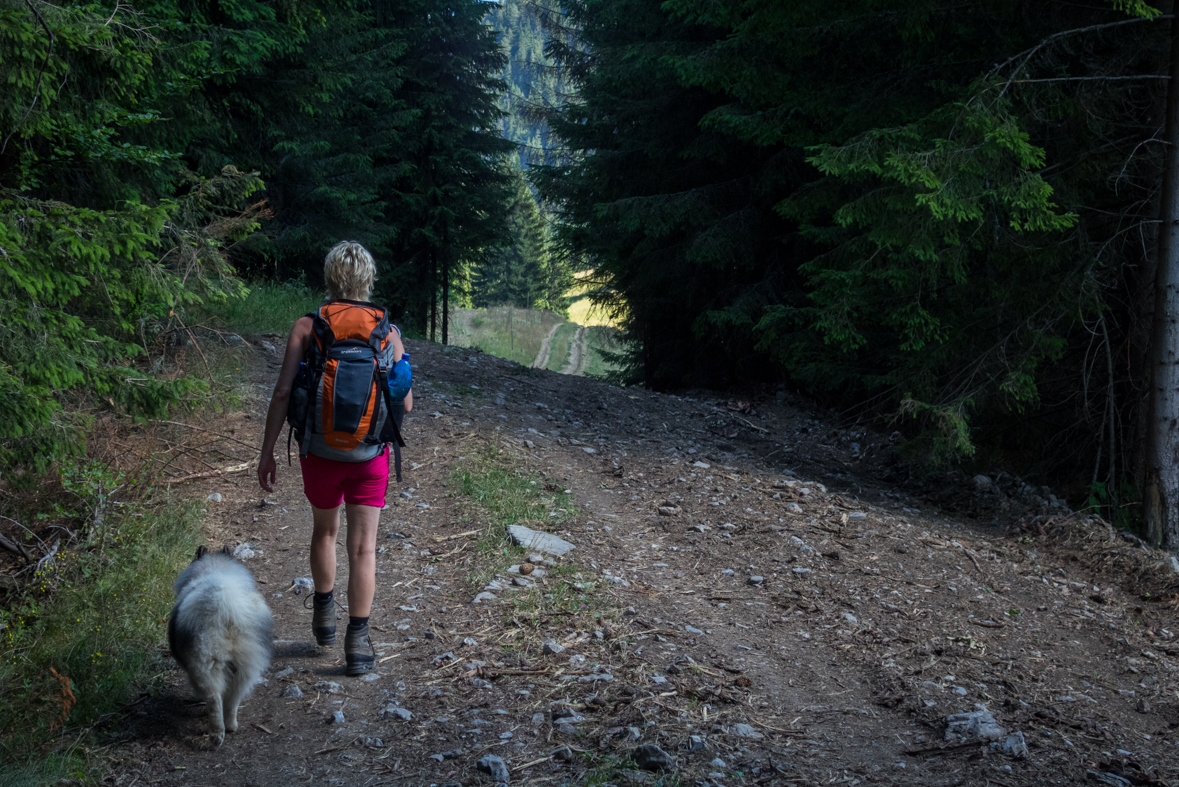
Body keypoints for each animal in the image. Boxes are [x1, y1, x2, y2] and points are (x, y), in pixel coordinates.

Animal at [168, 546, 273, 744]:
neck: (215, 569)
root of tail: (225, 607)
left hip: (205, 665)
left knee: (214, 699)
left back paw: (216, 733)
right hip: (246, 667)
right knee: (233, 700)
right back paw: (231, 726)